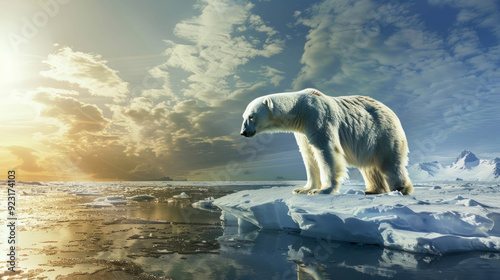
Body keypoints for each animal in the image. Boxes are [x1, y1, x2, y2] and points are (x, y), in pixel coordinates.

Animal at [240, 88, 412, 196]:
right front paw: (303, 189)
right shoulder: (302, 131)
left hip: (382, 133)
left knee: (390, 162)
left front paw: (322, 190)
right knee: (370, 167)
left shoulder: (318, 118)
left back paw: (401, 189)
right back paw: (373, 190)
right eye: (244, 116)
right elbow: (308, 155)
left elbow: (326, 151)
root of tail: (393, 113)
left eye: (251, 116)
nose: (243, 132)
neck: (300, 110)